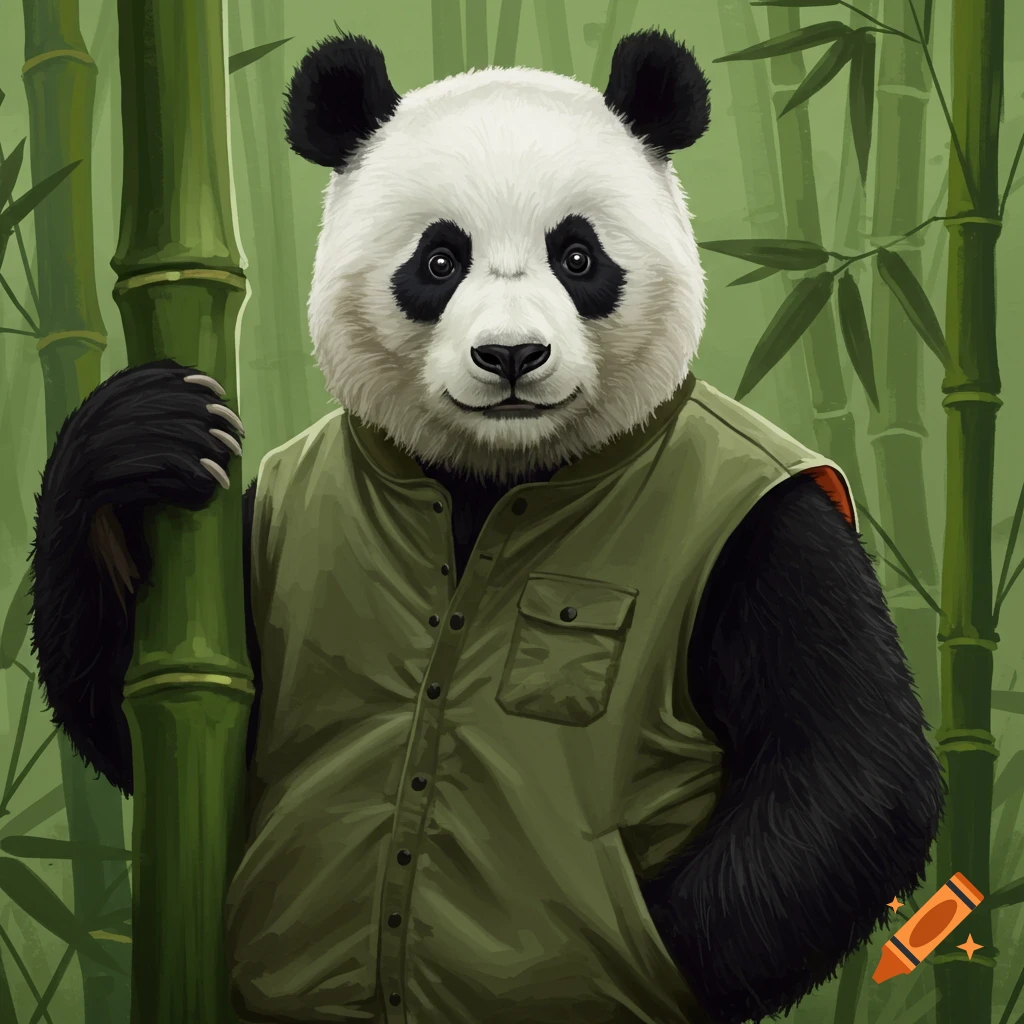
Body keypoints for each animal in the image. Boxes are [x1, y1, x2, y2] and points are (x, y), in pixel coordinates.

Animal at [30, 29, 943, 1024]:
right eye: (438, 262)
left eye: (578, 257)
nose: (511, 356)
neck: (496, 473)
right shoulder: (247, 537)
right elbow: (137, 715)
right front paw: (139, 434)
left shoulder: (776, 537)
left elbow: (852, 771)